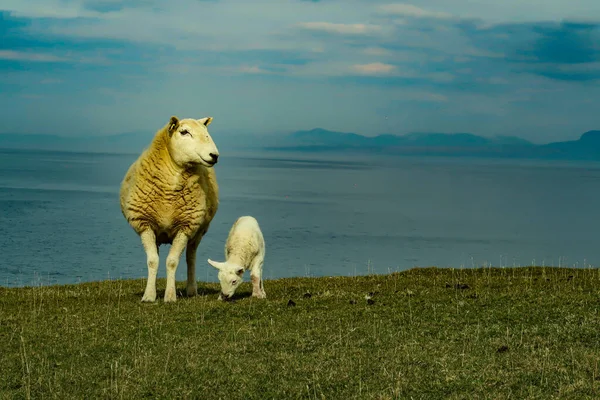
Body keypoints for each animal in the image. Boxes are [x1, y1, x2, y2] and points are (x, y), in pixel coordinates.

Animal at [119, 115, 220, 304]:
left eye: (206, 133)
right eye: (184, 132)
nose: (214, 155)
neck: (168, 195)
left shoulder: (186, 226)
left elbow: (172, 261)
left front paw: (170, 296)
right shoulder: (145, 224)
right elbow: (152, 261)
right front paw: (149, 296)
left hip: (199, 231)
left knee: (190, 258)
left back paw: (191, 290)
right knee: (156, 256)